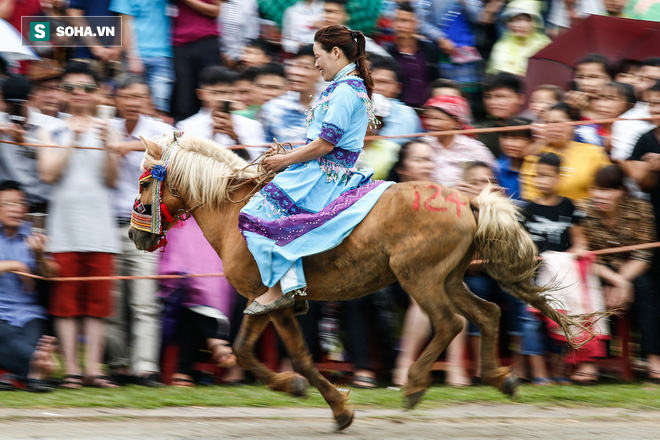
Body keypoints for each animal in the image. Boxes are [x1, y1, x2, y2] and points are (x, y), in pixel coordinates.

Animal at [129, 134, 592, 430]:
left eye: (145, 182)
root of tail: (467, 201)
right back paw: (501, 377)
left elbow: (297, 356)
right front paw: (296, 388)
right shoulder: (263, 301)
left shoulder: (273, 300)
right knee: (489, 313)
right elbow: (246, 350)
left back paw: (415, 385)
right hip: (449, 278)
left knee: (451, 323)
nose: (136, 235)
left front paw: (336, 407)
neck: (233, 214)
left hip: (419, 278)